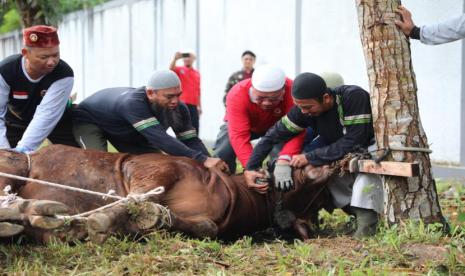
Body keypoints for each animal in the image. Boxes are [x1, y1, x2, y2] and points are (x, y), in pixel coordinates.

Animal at [0, 146, 334, 243]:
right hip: (14, 163)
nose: (329, 164)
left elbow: (203, 226)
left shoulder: (209, 224)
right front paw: (100, 219)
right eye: (315, 193)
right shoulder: (151, 167)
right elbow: (135, 198)